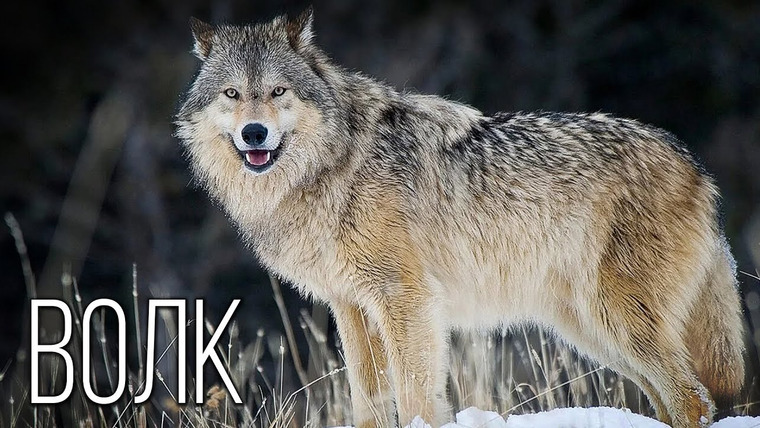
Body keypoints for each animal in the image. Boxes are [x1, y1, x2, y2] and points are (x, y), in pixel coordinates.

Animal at [176, 8, 745, 428]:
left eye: (278, 92)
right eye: (232, 94)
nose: (253, 133)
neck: (334, 164)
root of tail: (695, 164)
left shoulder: (406, 299)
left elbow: (416, 396)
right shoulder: (351, 307)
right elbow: (369, 401)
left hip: (615, 318)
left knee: (693, 398)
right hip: (591, 329)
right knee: (677, 400)